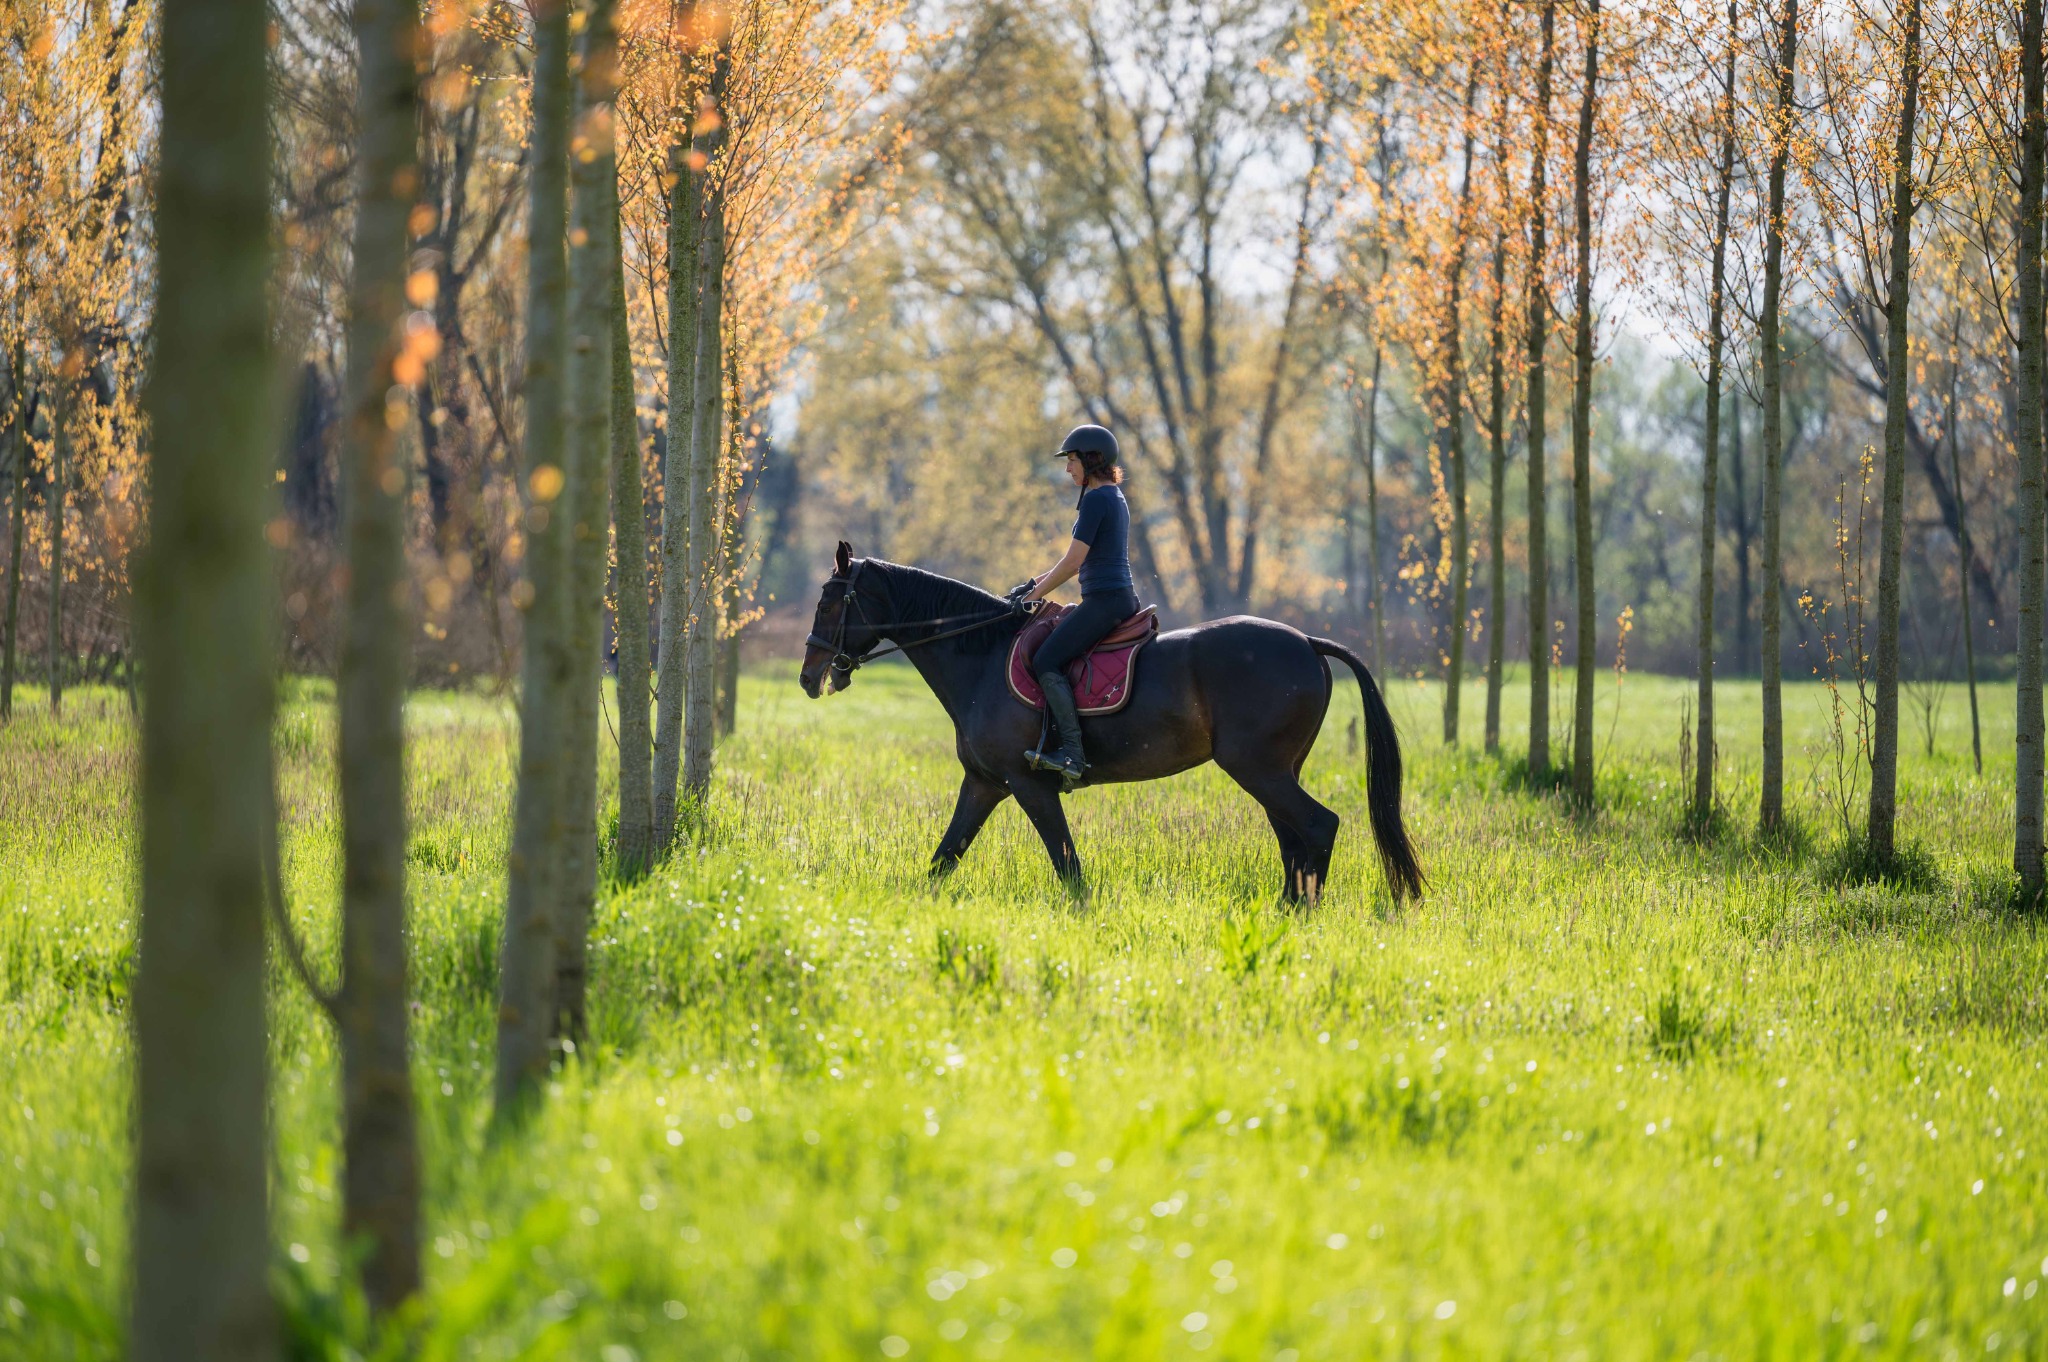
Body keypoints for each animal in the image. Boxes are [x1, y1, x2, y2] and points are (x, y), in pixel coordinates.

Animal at [798, 542, 1422, 903]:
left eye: (829, 602)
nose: (809, 677)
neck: (980, 656)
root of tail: (1308, 641)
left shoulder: (1028, 783)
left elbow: (1067, 866)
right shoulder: (983, 784)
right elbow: (944, 858)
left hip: (1258, 767)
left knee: (1317, 827)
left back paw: (1298, 919)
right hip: (1273, 771)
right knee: (1294, 839)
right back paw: (1285, 914)